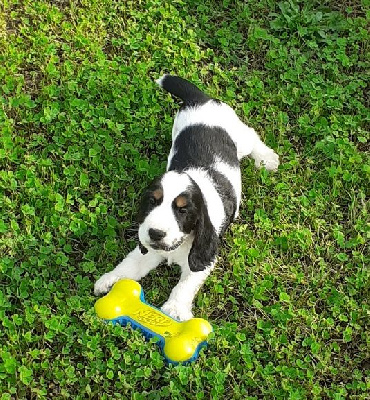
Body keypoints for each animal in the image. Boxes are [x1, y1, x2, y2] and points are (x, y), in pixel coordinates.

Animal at [94, 73, 278, 320]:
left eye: (182, 209)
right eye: (152, 201)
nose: (155, 233)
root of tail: (199, 99)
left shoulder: (204, 255)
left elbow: (185, 284)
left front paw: (174, 309)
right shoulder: (149, 250)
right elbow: (130, 264)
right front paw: (109, 281)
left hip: (240, 136)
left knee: (252, 136)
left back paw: (267, 159)